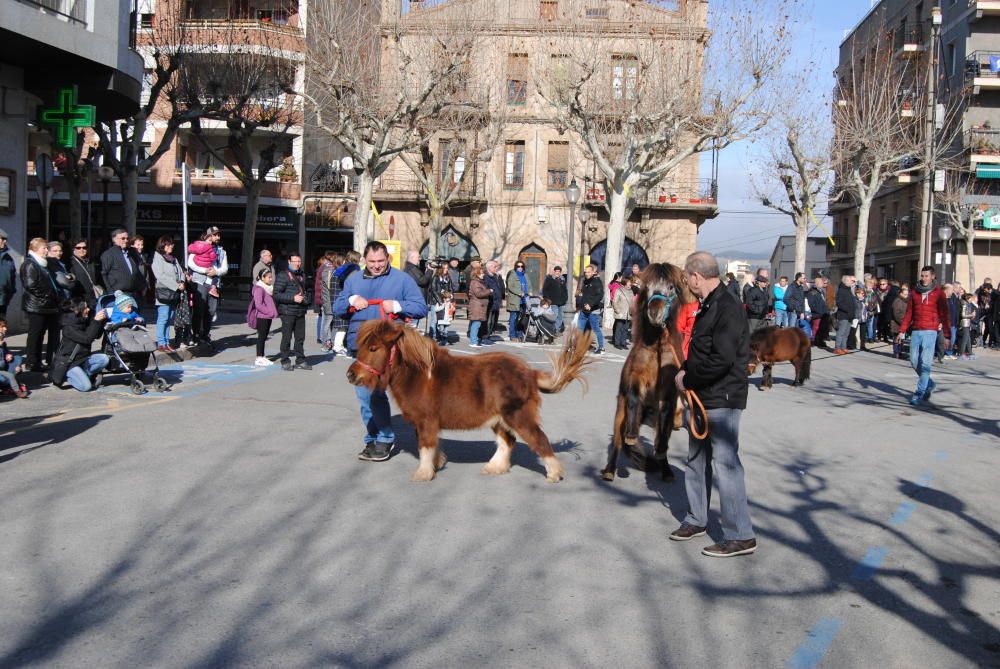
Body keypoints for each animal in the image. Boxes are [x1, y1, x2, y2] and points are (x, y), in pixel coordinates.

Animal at [348, 318, 592, 480]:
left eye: (373, 348)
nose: (351, 375)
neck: (418, 375)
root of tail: (530, 373)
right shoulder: (425, 423)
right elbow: (430, 445)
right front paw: (437, 463)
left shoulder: (426, 421)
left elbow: (425, 446)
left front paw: (423, 473)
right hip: (499, 419)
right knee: (507, 442)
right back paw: (495, 468)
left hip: (517, 415)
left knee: (538, 439)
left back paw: (554, 474)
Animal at [600, 260, 688, 480]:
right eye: (647, 287)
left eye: (671, 287)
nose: (655, 313)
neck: (656, 348)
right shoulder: (635, 378)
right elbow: (633, 397)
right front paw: (631, 436)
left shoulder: (667, 391)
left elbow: (664, 426)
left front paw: (662, 457)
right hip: (620, 413)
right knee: (618, 440)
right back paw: (609, 470)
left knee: (660, 440)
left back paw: (666, 469)